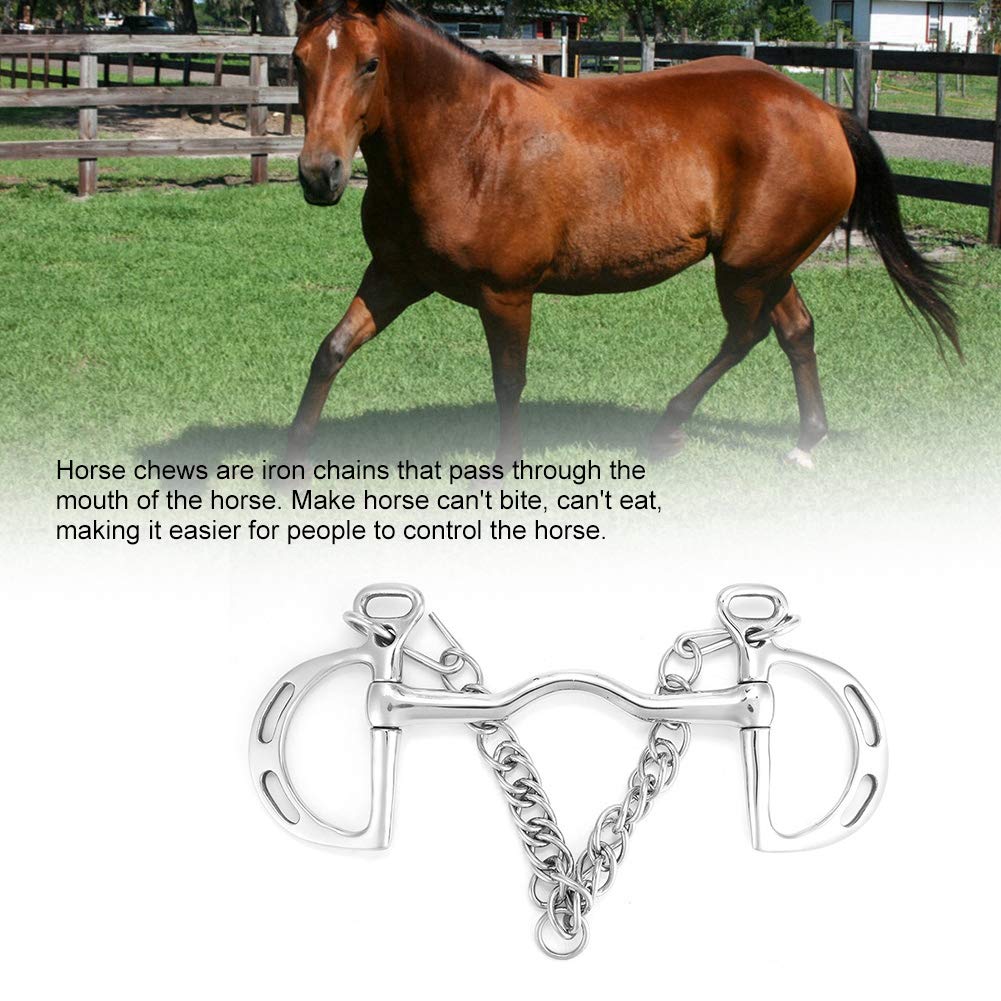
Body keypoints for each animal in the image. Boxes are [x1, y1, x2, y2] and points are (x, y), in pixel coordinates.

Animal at [287, 0, 958, 470]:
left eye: (370, 63)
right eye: (298, 59)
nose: (321, 174)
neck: (469, 141)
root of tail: (827, 113)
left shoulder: (506, 294)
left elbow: (508, 382)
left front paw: (508, 466)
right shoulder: (396, 274)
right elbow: (331, 350)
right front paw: (290, 458)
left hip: (745, 267)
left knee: (747, 335)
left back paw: (668, 427)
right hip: (769, 264)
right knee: (796, 332)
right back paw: (804, 442)